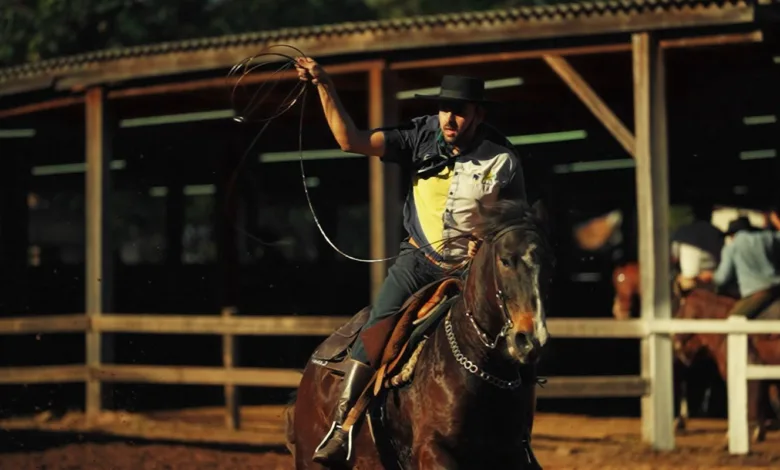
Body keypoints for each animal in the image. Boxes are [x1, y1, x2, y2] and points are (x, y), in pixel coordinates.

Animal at [286, 199, 555, 469]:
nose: (531, 339)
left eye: (547, 264)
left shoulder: (512, 453)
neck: (478, 361)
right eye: (505, 260)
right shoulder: (431, 449)